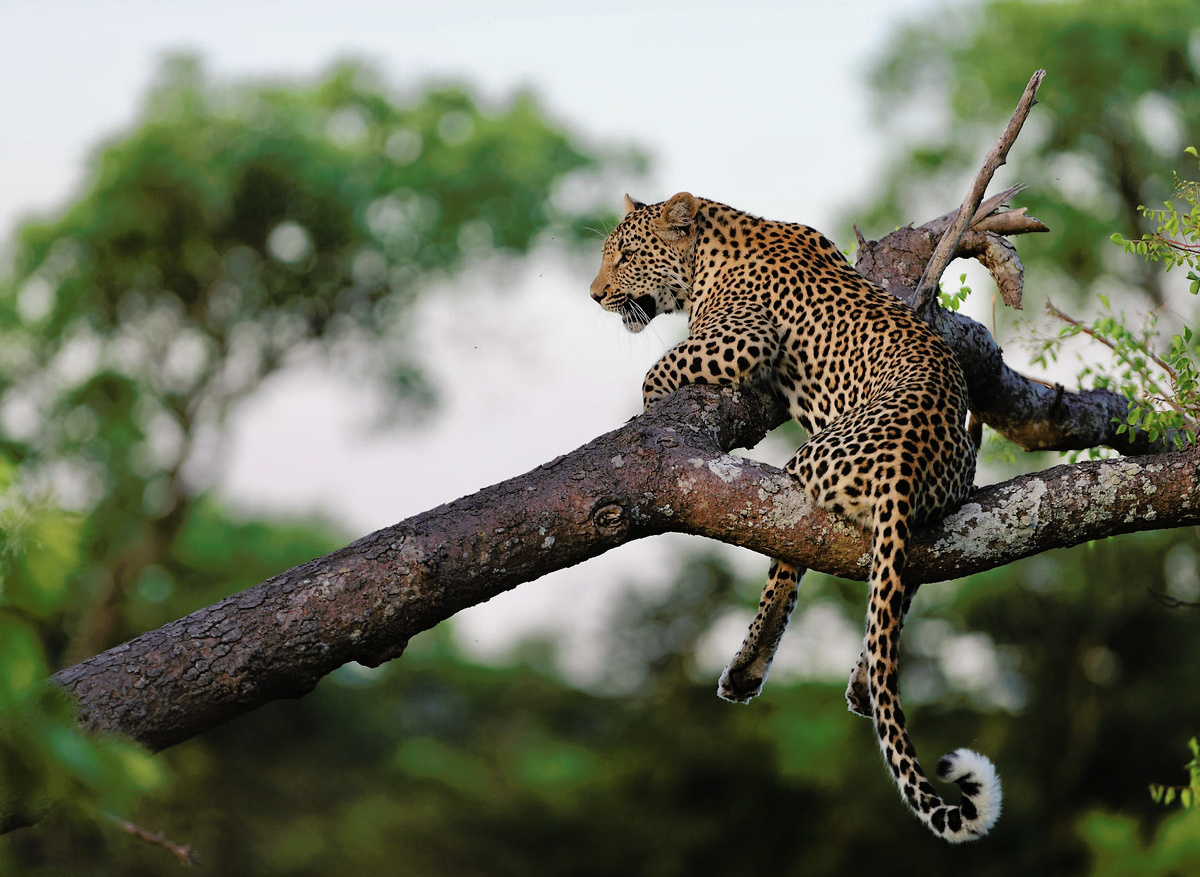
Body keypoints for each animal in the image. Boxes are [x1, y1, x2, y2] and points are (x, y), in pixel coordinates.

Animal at [590, 192, 1002, 842]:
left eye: (625, 256)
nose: (594, 294)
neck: (714, 239)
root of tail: (908, 465)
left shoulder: (742, 335)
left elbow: (654, 373)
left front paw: (649, 403)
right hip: (936, 513)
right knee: (897, 589)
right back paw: (862, 680)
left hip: (803, 469)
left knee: (788, 563)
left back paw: (747, 668)